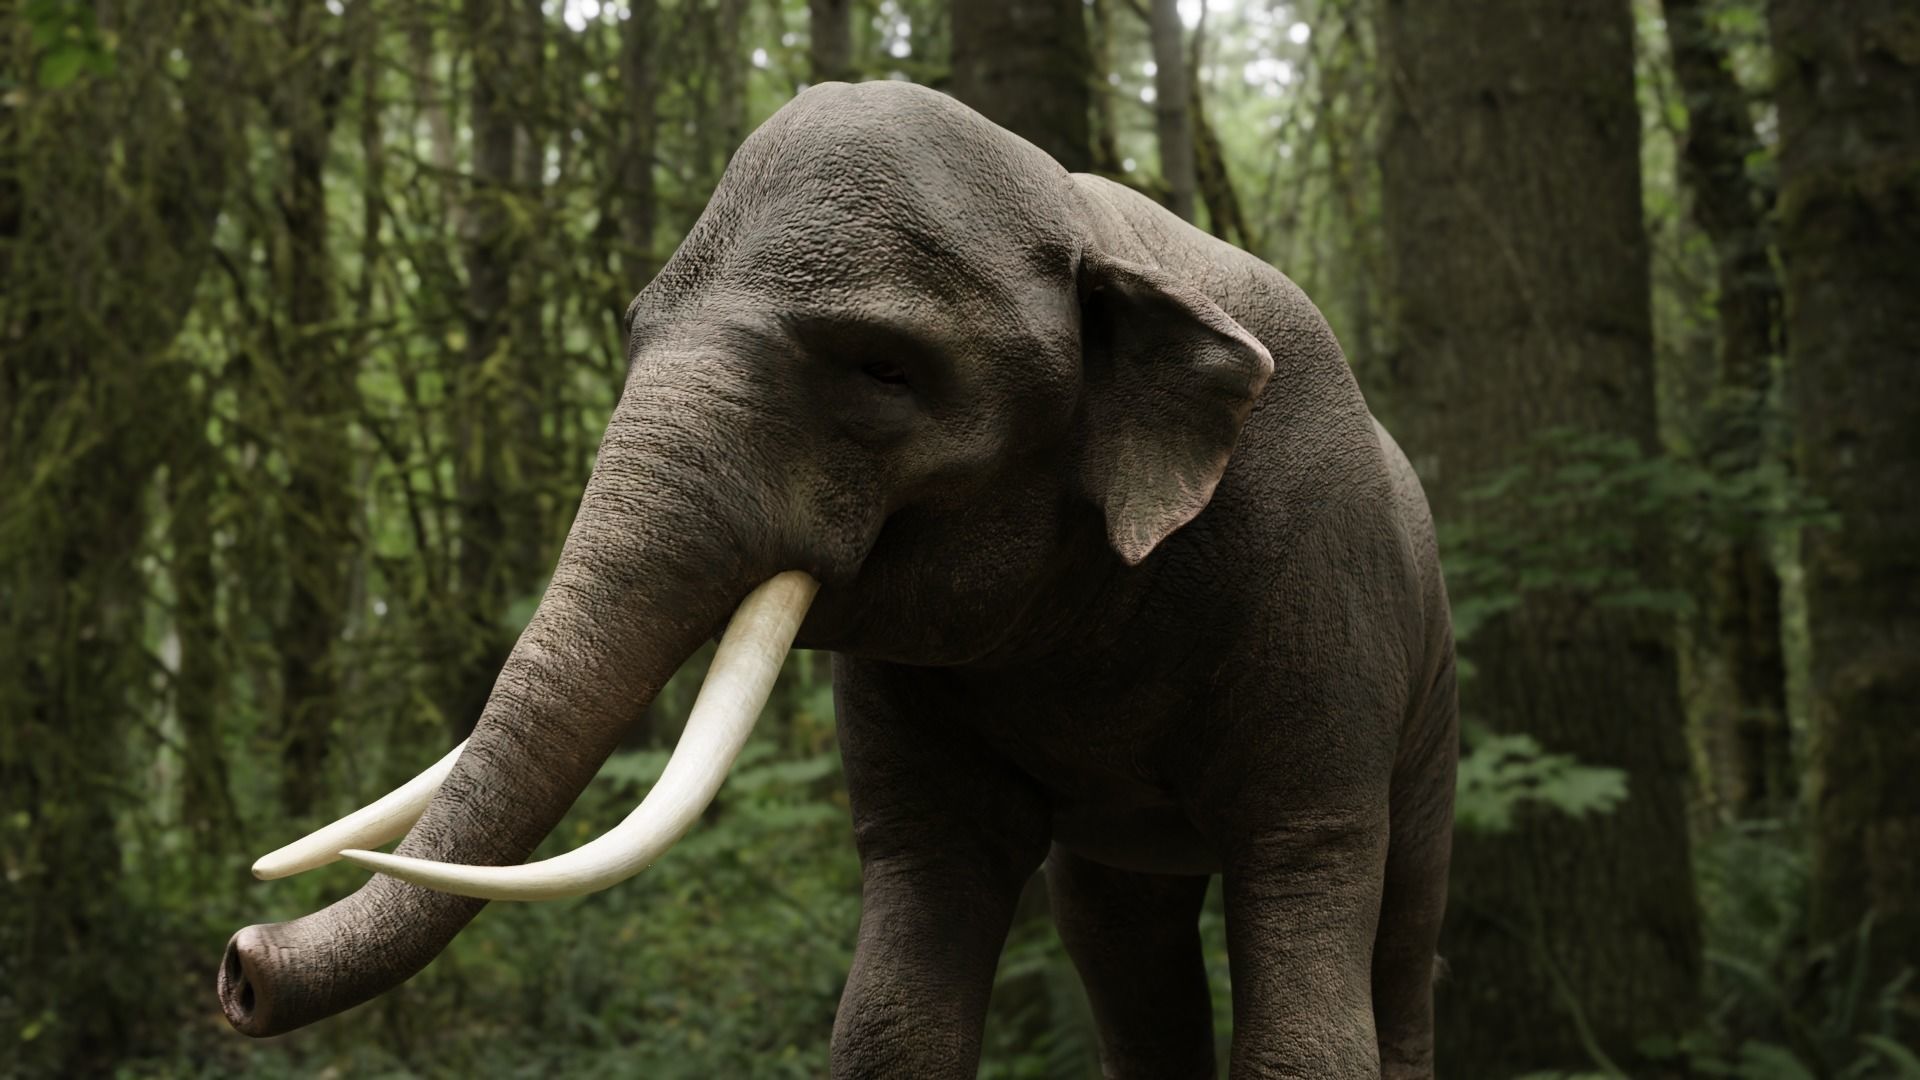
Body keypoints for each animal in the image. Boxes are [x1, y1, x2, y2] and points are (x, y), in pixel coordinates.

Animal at [217, 80, 1457, 1079]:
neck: (1087, 220)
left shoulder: (1316, 589)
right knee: (1119, 934)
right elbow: (895, 997)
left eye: (883, 370)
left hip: (1426, 699)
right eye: (630, 332)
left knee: (1399, 943)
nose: (240, 966)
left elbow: (1308, 954)